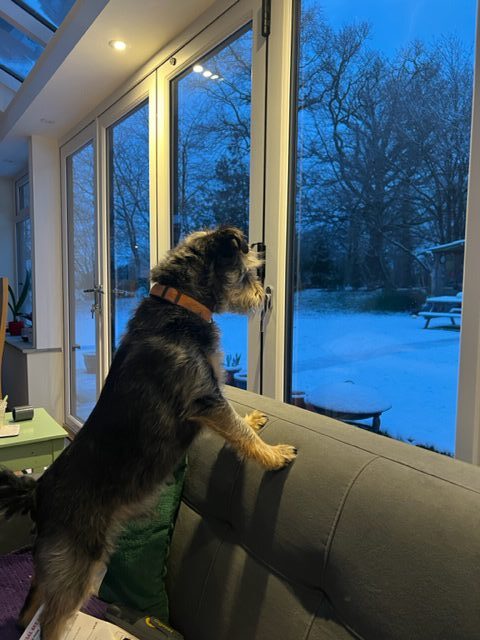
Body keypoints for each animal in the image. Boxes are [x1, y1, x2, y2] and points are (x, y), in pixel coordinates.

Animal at [0, 228, 298, 636]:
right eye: (248, 270)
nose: (264, 295)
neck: (179, 302)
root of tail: (38, 492)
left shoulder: (209, 400)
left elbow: (237, 424)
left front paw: (253, 420)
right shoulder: (204, 398)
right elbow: (237, 430)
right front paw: (273, 455)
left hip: (53, 564)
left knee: (30, 604)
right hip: (77, 564)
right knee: (51, 619)